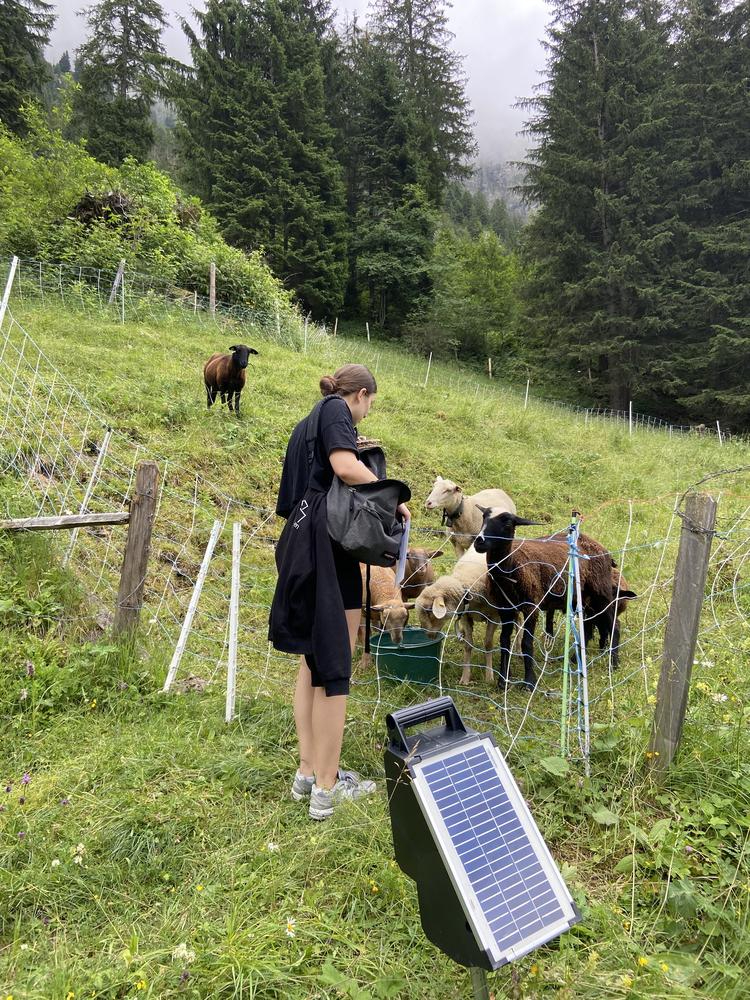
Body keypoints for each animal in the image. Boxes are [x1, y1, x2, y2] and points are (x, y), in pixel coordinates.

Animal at [415, 545, 498, 686]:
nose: (427, 634)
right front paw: (465, 678)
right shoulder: (465, 616)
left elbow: (488, 644)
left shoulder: (495, 616)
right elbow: (468, 645)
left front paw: (489, 677)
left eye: (429, 611)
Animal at [474, 509, 614, 690]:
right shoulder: (505, 608)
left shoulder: (531, 606)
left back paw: (614, 662)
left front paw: (529, 682)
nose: (479, 542)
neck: (511, 565)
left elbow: (526, 643)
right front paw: (503, 681)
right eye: (484, 517)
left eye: (507, 522)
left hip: (601, 591)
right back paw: (575, 660)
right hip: (582, 597)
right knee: (588, 627)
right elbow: (504, 642)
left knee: (614, 623)